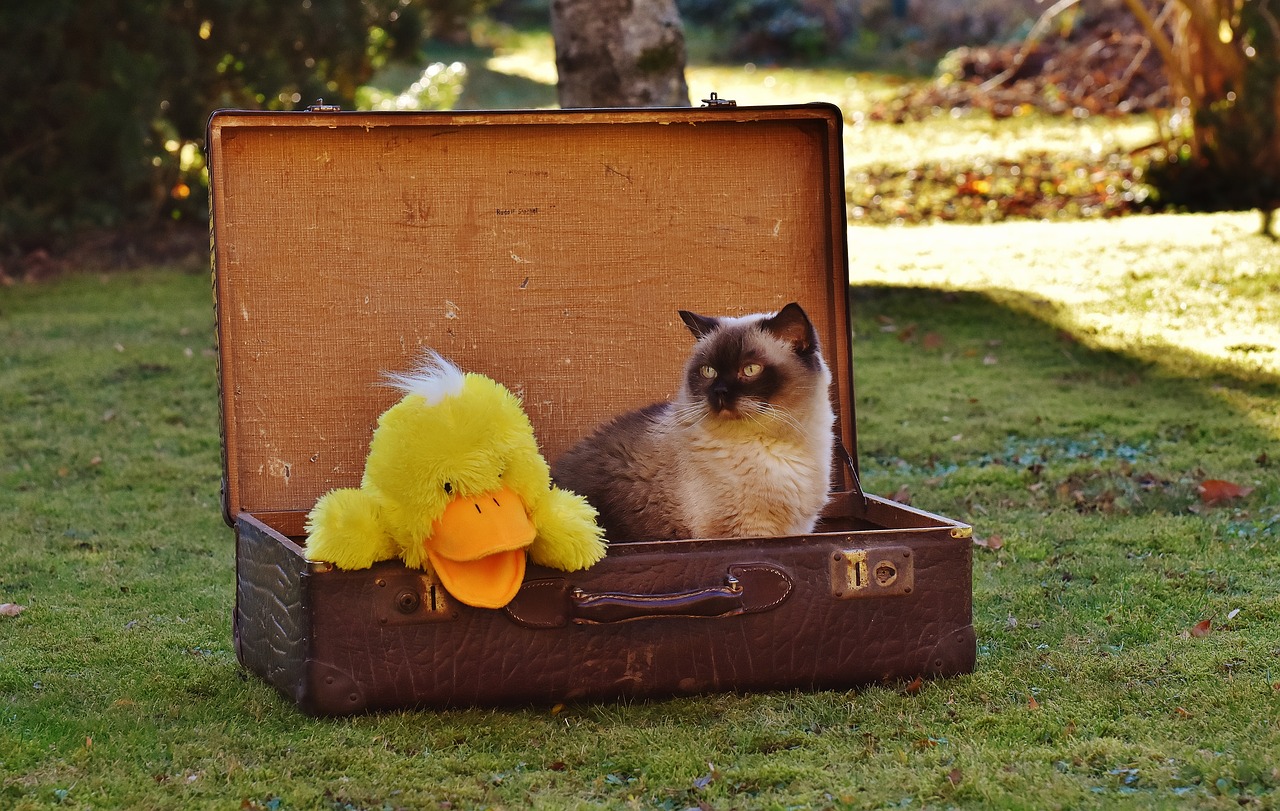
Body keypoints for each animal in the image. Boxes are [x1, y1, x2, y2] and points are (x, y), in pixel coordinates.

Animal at [552, 300, 839, 539]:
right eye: (708, 371)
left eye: (750, 370)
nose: (720, 393)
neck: (776, 449)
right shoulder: (745, 532)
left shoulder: (797, 529)